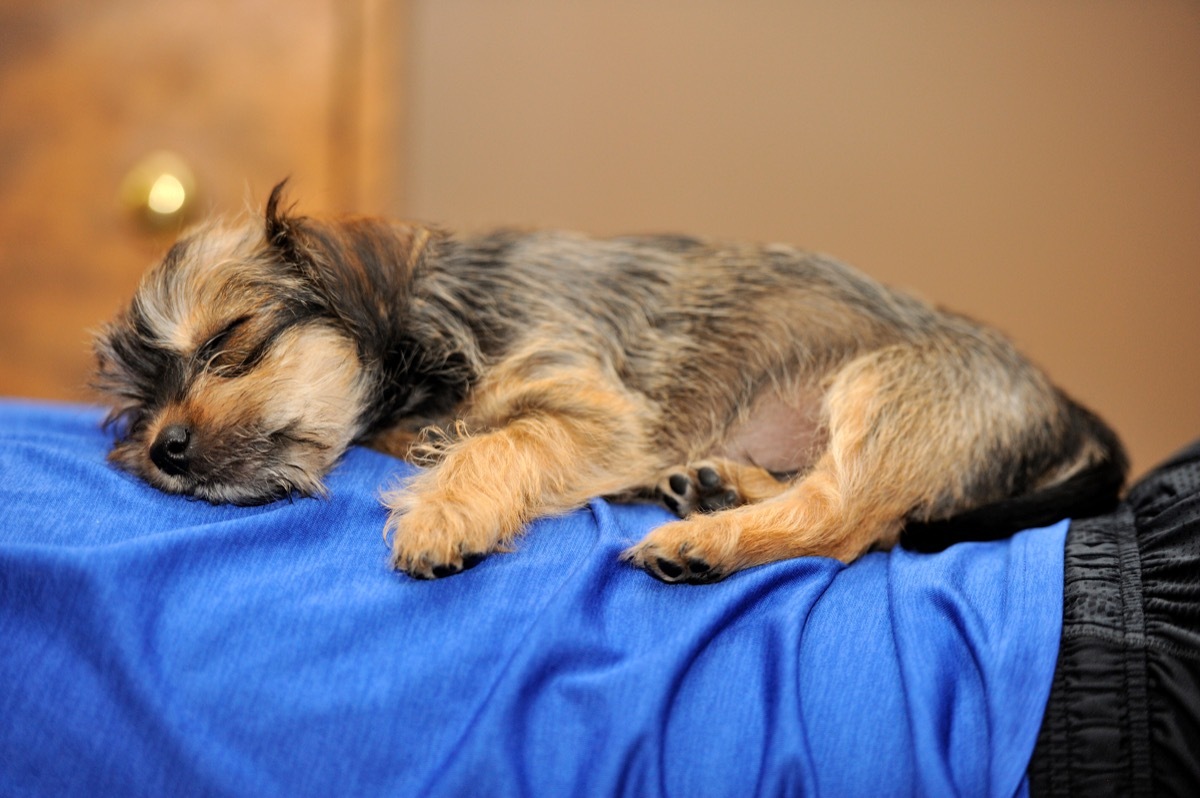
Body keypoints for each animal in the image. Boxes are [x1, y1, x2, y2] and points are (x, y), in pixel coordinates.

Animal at [91, 183, 1123, 583]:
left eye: (231, 341)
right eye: (134, 407)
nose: (164, 450)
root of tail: (1056, 399)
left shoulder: (592, 408)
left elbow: (507, 439)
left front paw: (444, 511)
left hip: (884, 389)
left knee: (850, 522)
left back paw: (701, 542)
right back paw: (717, 487)